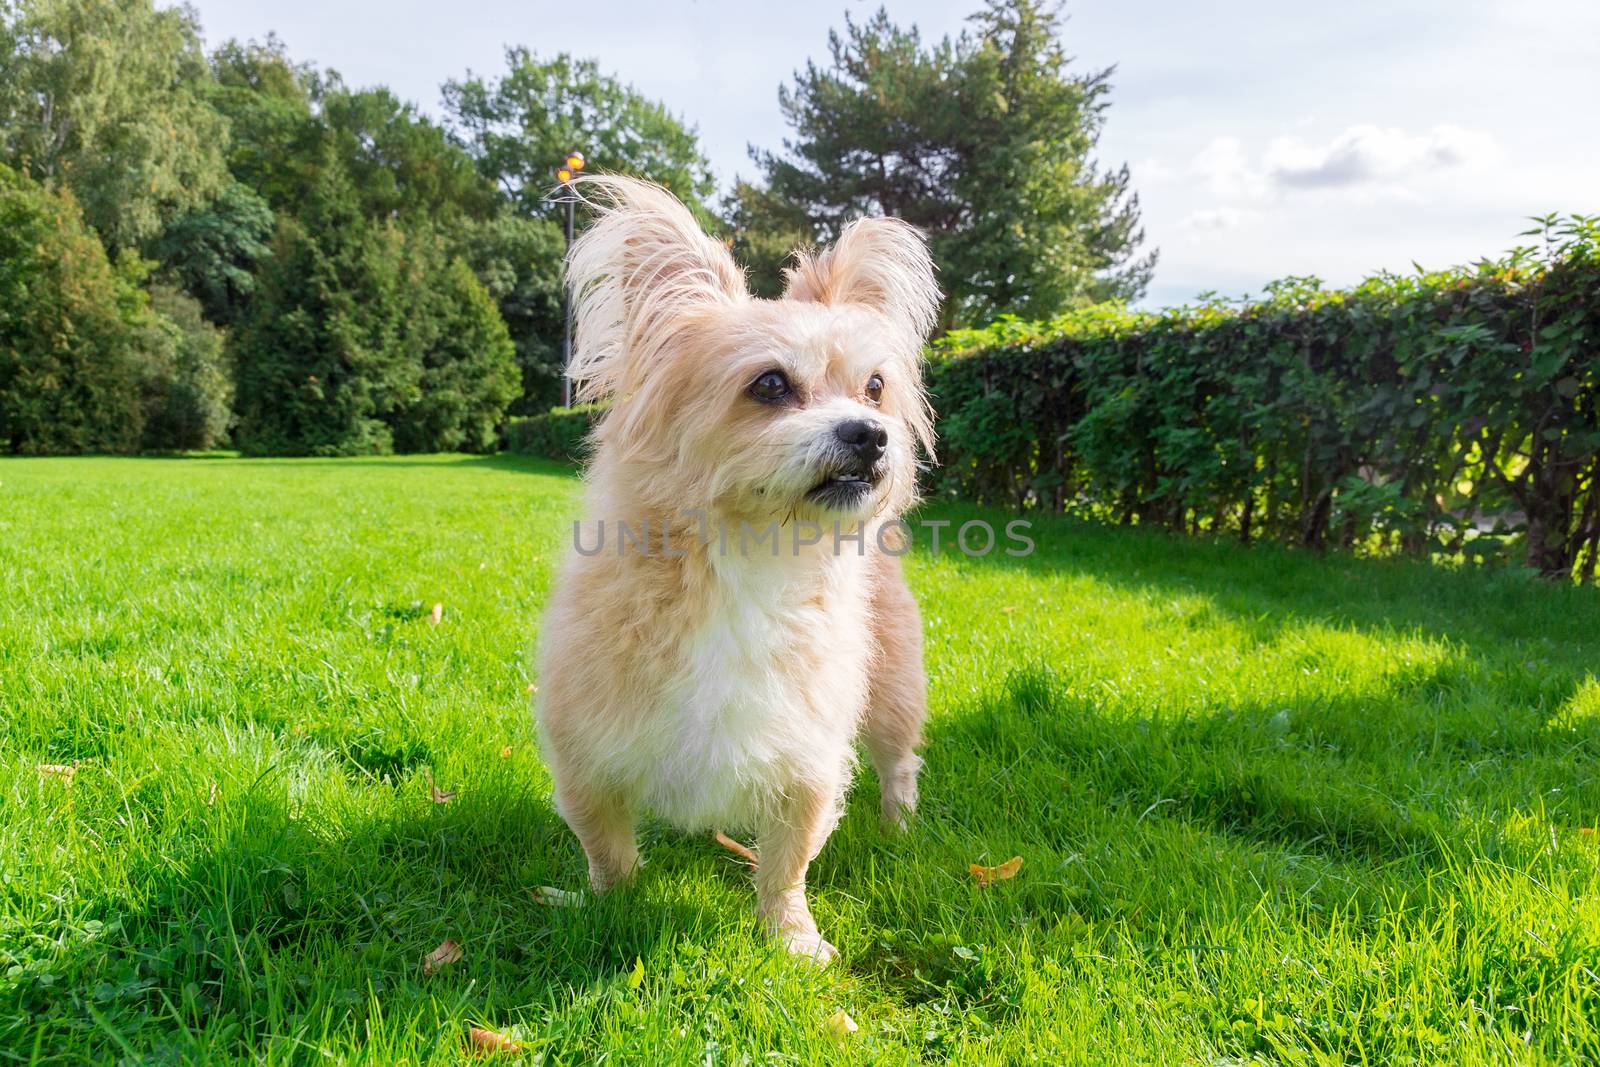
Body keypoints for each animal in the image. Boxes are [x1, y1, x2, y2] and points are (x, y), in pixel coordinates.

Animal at [537, 175, 934, 959]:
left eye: (875, 387)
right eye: (771, 385)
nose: (872, 434)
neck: (750, 558)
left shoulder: (807, 758)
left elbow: (788, 862)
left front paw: (793, 939)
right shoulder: (586, 753)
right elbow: (607, 848)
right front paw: (603, 905)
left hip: (894, 691)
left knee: (898, 762)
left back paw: (899, 824)